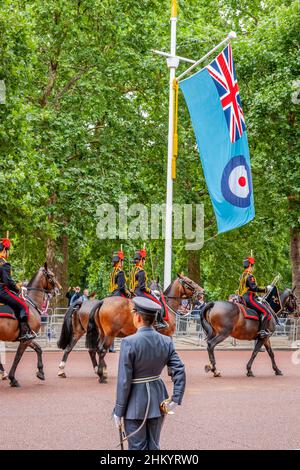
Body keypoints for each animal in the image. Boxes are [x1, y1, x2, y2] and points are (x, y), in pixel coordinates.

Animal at [56, 274, 203, 380]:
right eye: (189, 282)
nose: (202, 292)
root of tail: (102, 302)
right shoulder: (167, 334)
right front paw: (171, 371)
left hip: (86, 331)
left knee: (77, 348)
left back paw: (67, 370)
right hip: (108, 334)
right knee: (100, 350)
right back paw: (101, 374)